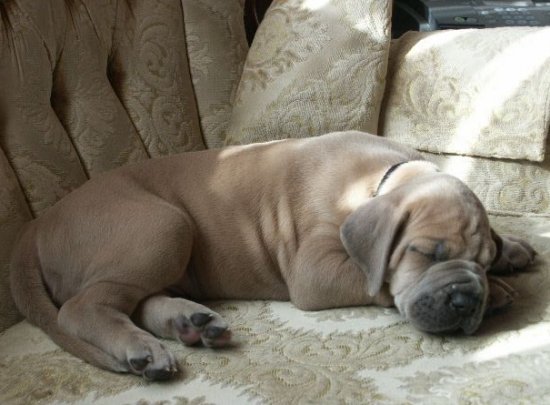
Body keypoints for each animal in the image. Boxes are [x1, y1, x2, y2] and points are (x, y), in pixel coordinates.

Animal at [10, 131, 536, 380]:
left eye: (482, 259)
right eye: (427, 254)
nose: (467, 301)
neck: (378, 178)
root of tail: (33, 226)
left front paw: (509, 250)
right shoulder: (317, 270)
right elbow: (380, 281)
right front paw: (499, 291)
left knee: (132, 300)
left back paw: (189, 323)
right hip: (162, 226)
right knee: (84, 307)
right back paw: (143, 347)